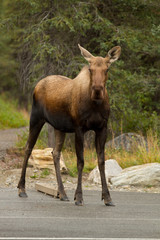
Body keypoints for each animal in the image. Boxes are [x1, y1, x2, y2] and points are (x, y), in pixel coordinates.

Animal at [17, 44, 120, 206]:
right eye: (90, 69)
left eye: (107, 69)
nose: (97, 90)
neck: (95, 104)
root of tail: (37, 85)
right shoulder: (79, 128)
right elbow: (80, 161)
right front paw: (79, 197)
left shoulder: (102, 127)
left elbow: (101, 161)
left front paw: (107, 197)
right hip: (36, 119)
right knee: (28, 148)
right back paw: (22, 189)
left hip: (59, 127)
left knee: (55, 153)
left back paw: (62, 193)